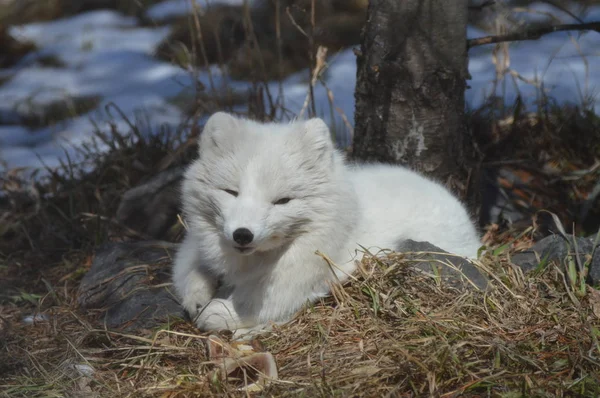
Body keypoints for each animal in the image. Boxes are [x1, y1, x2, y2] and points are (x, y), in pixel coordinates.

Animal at [171, 112, 480, 336]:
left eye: (282, 201)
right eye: (231, 192)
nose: (243, 235)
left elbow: (270, 299)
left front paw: (220, 313)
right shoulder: (195, 241)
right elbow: (186, 268)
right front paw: (197, 295)